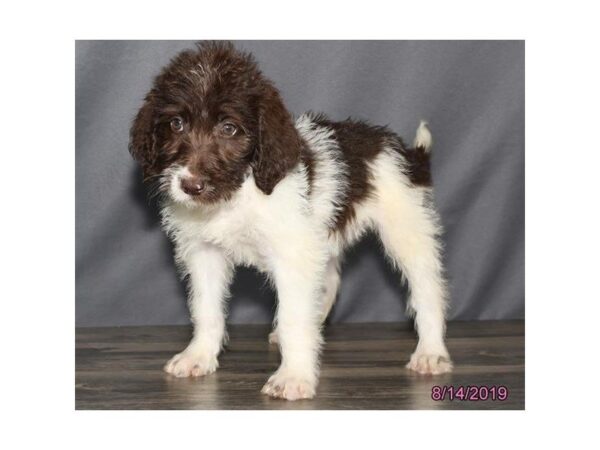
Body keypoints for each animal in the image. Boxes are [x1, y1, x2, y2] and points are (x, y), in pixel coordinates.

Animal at [129, 42, 452, 400]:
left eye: (229, 128)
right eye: (176, 124)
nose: (191, 186)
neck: (239, 193)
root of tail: (400, 149)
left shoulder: (292, 254)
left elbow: (293, 317)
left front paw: (294, 375)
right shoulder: (204, 253)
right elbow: (206, 308)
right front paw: (198, 355)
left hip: (406, 230)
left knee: (428, 289)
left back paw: (431, 351)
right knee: (330, 281)